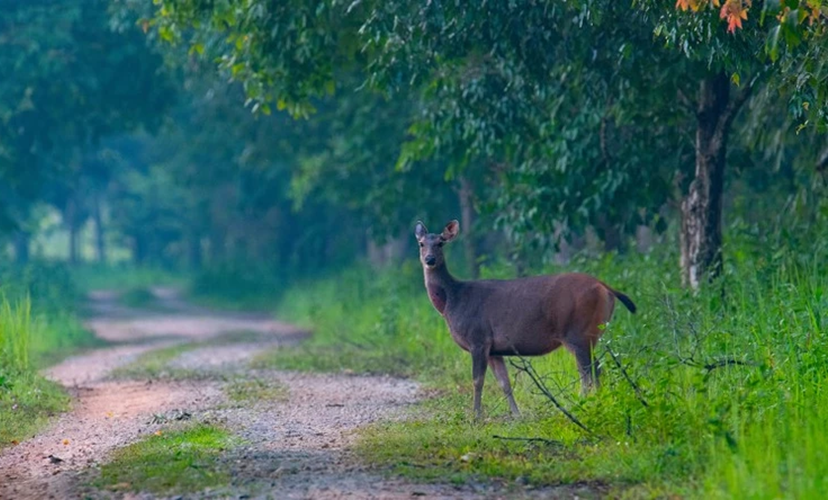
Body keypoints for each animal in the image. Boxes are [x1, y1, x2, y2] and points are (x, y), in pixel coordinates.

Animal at [414, 219, 640, 418]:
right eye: (421, 243)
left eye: (441, 243)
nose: (429, 259)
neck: (452, 300)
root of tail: (605, 287)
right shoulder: (494, 348)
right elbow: (504, 383)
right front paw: (516, 415)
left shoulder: (478, 338)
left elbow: (477, 380)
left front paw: (475, 417)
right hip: (592, 334)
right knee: (597, 368)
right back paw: (598, 402)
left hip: (577, 332)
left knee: (587, 373)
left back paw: (580, 405)